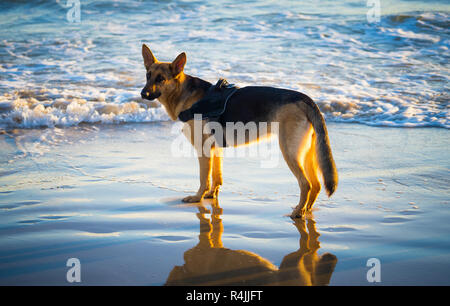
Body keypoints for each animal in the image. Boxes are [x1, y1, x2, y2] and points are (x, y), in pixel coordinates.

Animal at [141, 44, 338, 219]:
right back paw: (305, 210)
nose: (143, 94)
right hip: (306, 153)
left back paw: (298, 212)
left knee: (306, 184)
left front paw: (197, 197)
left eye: (161, 79)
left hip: (290, 152)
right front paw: (211, 195)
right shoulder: (215, 150)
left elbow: (204, 179)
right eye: (148, 75)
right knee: (316, 185)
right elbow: (216, 177)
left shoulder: (204, 151)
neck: (184, 93)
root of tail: (305, 99)